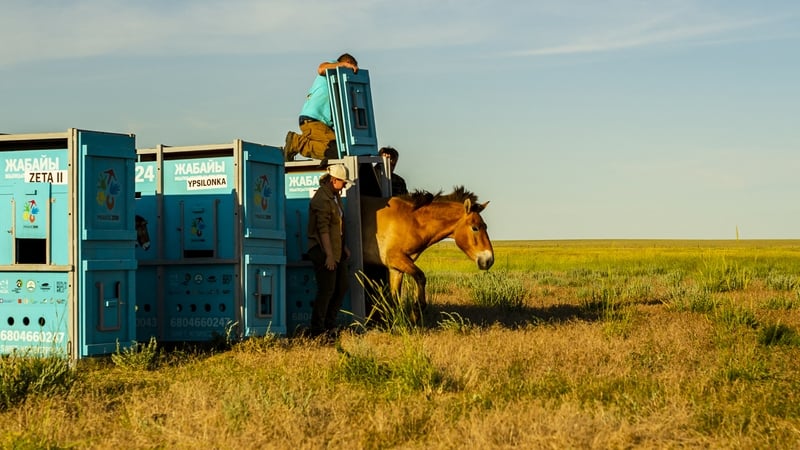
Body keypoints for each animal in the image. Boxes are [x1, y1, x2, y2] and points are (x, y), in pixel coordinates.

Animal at [360, 186, 494, 322]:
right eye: (475, 228)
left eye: (485, 226)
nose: (489, 260)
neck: (411, 220)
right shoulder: (395, 258)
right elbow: (421, 277)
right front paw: (415, 313)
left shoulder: (395, 268)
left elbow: (395, 298)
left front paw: (396, 321)